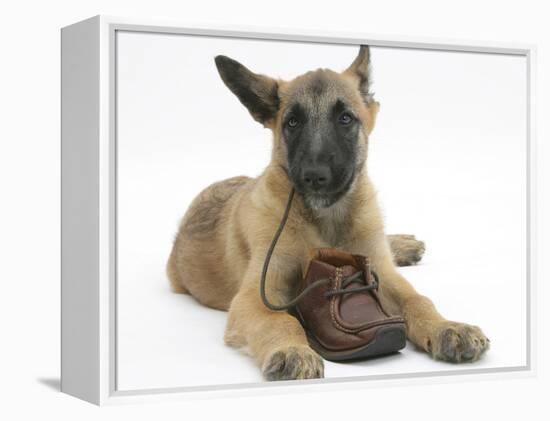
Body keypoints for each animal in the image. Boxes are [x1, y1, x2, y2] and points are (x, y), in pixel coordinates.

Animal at [168, 46, 492, 380]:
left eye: (345, 119)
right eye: (293, 122)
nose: (314, 176)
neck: (326, 221)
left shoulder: (381, 272)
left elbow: (418, 299)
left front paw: (446, 327)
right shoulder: (256, 296)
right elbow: (280, 320)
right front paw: (292, 350)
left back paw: (402, 245)